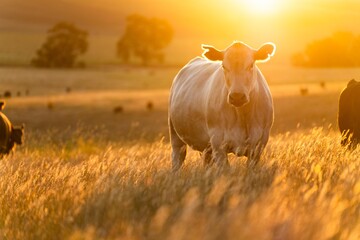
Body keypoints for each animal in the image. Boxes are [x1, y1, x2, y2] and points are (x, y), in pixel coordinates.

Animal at [169, 40, 276, 170]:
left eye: (251, 65)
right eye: (224, 66)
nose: (237, 96)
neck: (243, 116)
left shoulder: (258, 146)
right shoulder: (218, 145)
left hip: (206, 146)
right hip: (175, 135)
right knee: (177, 159)